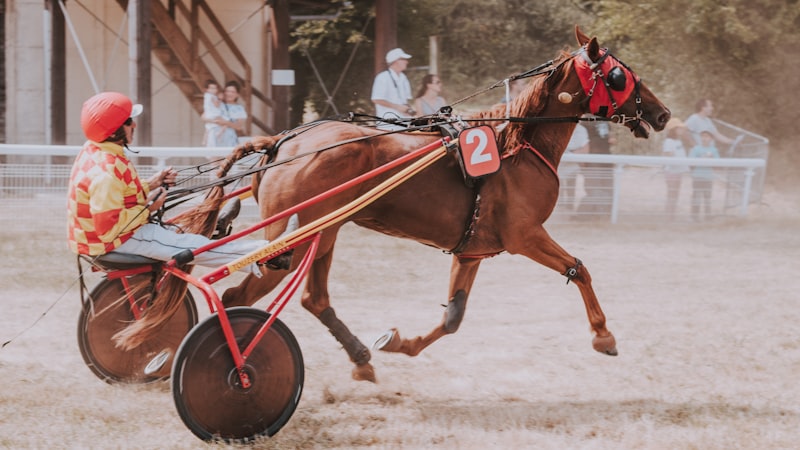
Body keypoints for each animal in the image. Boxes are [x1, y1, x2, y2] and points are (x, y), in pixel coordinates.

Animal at [134, 27, 670, 382]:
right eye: (619, 75)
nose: (663, 113)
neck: (517, 144)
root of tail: (282, 143)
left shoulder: (472, 249)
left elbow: (453, 318)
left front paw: (399, 343)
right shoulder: (525, 236)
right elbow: (580, 269)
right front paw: (603, 335)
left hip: (325, 232)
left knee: (312, 298)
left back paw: (359, 357)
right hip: (298, 237)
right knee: (238, 296)